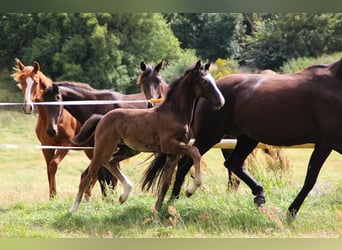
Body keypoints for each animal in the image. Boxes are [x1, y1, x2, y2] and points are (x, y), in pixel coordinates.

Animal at [68, 60, 226, 211]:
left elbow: (165, 184)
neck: (173, 114)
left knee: (110, 163)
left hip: (129, 149)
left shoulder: (173, 153)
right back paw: (73, 210)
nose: (221, 101)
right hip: (104, 148)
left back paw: (124, 195)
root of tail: (102, 118)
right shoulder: (169, 145)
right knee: (87, 175)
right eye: (204, 81)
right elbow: (195, 152)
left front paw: (157, 211)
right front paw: (190, 190)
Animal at [142, 58, 342, 217]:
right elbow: (310, 180)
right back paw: (173, 203)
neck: (335, 84)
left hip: (247, 138)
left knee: (233, 163)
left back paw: (259, 195)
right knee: (185, 164)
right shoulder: (326, 143)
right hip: (210, 136)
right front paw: (291, 212)